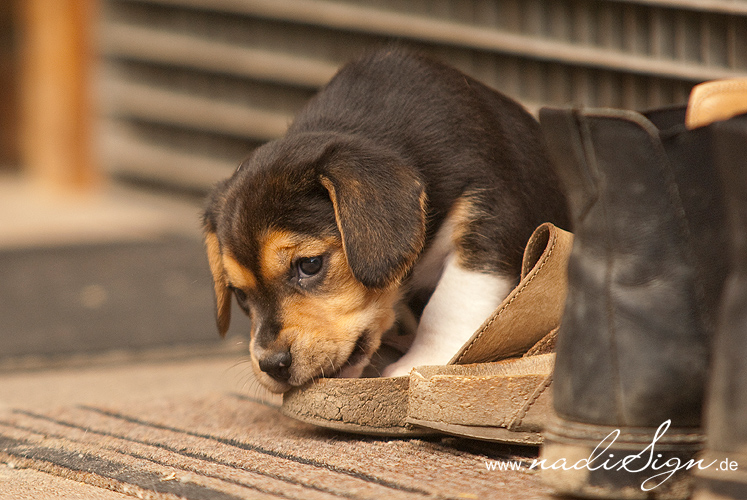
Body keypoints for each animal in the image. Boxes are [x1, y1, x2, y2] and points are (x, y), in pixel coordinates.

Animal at [202, 50, 568, 394]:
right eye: (240, 295)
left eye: (310, 265)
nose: (271, 364)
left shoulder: (487, 217)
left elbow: (448, 303)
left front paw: (424, 360)